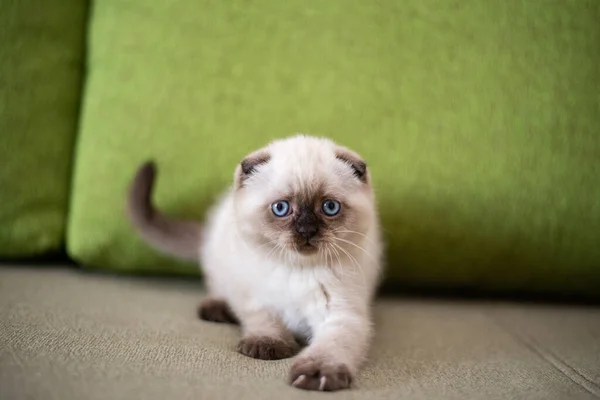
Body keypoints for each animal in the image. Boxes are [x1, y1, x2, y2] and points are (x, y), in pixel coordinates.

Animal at [126, 134, 382, 390]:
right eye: (281, 208)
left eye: (329, 207)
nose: (306, 231)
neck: (297, 270)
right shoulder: (256, 299)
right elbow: (264, 322)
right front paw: (266, 345)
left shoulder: (339, 315)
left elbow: (330, 348)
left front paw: (316, 374)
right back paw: (217, 309)